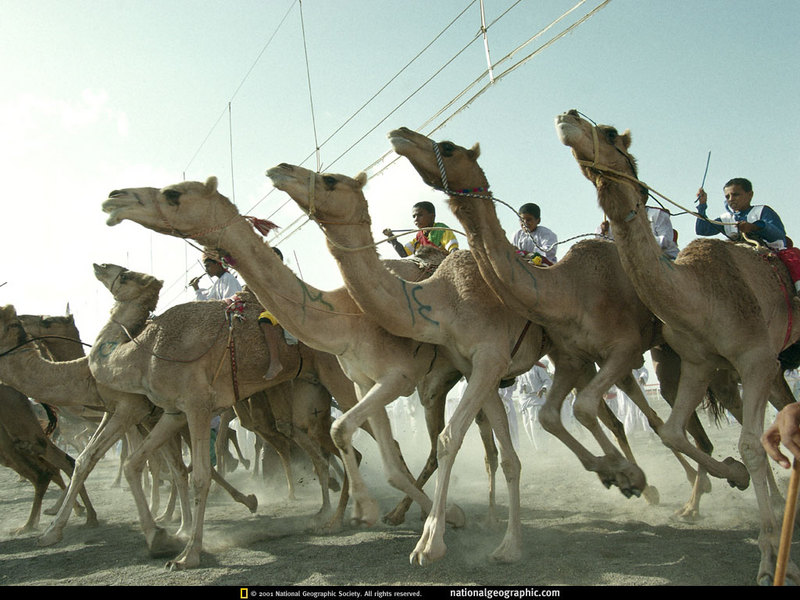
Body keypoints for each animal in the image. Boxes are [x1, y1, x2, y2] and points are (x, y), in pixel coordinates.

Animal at [266, 164, 552, 568]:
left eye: (330, 180)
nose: (281, 169)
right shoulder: (372, 380)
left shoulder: (399, 375)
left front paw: (429, 534)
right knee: (481, 446)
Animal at [552, 108, 800, 584]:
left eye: (610, 133)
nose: (567, 116)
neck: (699, 294)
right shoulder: (701, 362)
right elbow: (673, 430)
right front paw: (734, 477)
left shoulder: (755, 359)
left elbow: (750, 443)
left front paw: (769, 562)